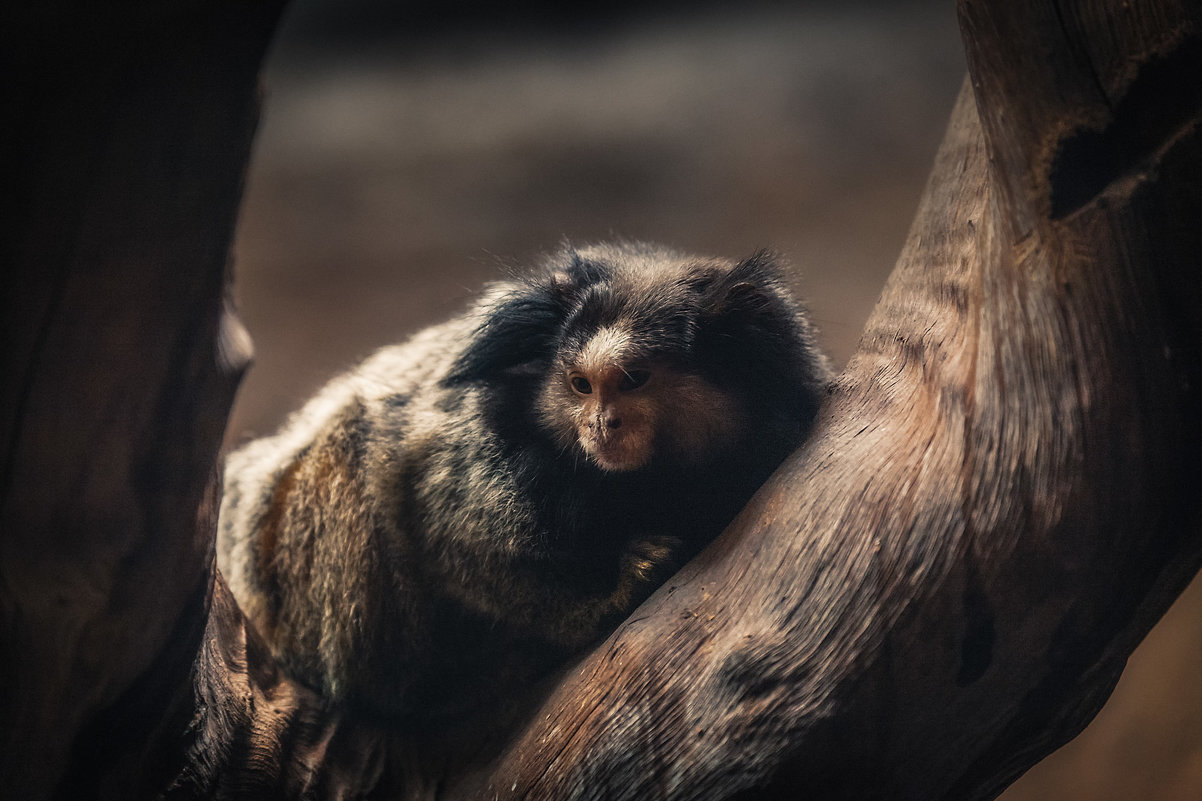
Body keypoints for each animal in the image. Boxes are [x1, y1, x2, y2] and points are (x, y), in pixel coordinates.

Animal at [218, 240, 826, 721]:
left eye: (632, 380)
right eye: (581, 385)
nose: (600, 425)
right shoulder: (478, 445)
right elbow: (457, 543)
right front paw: (600, 604)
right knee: (352, 440)